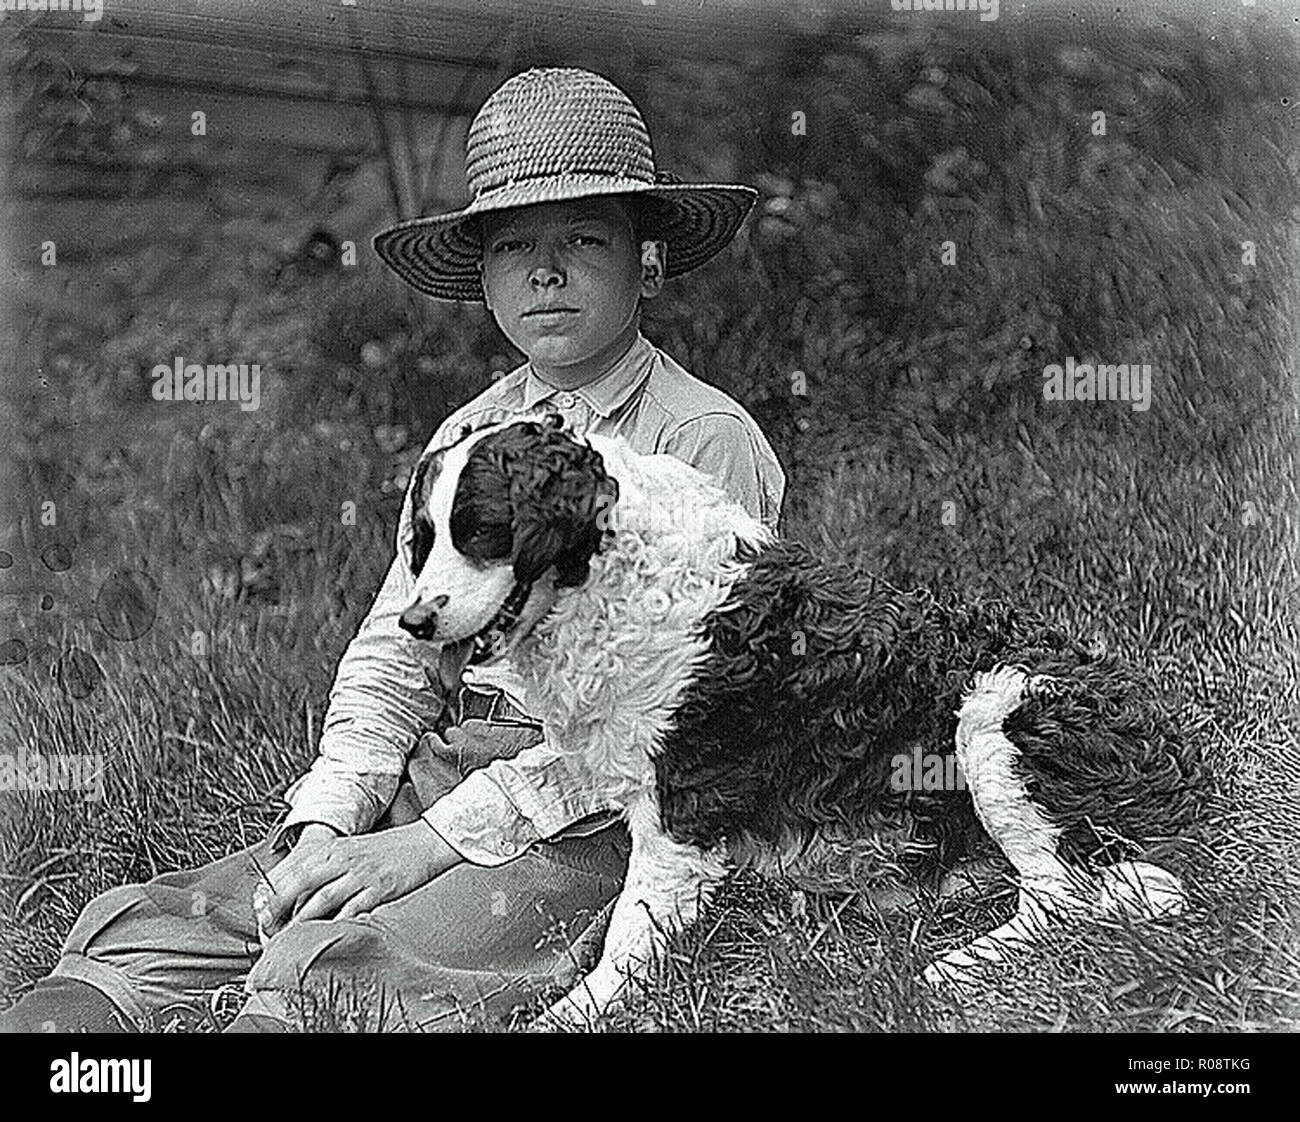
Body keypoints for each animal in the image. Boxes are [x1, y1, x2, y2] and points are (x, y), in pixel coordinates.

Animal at [395, 413, 1206, 1024]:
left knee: (1077, 896)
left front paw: (569, 1013)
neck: (607, 572)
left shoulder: (677, 816)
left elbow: (624, 940)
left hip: (995, 712)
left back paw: (948, 968)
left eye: (482, 530)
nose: (413, 621)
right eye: (424, 539)